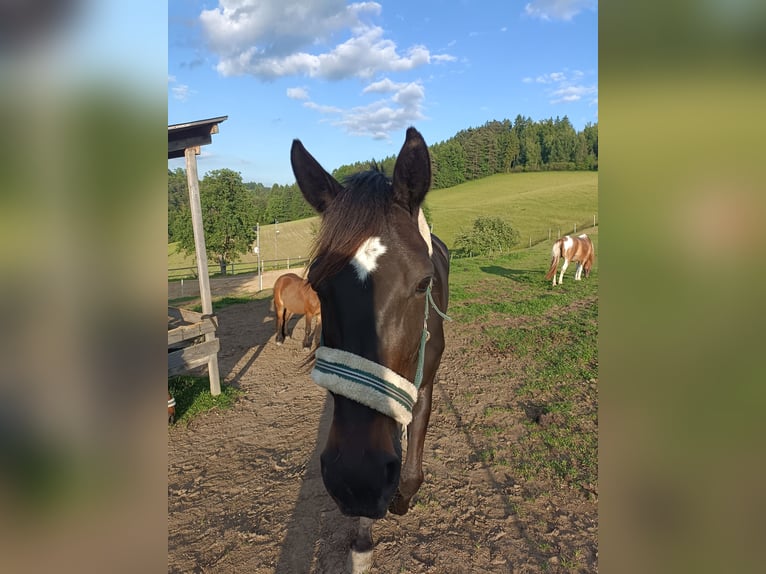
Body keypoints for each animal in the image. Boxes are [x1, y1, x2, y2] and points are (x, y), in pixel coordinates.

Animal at [291, 127, 450, 573]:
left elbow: (410, 470)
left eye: (423, 284)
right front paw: (362, 540)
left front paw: (399, 498)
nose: (356, 477)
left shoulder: (426, 383)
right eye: (317, 285)